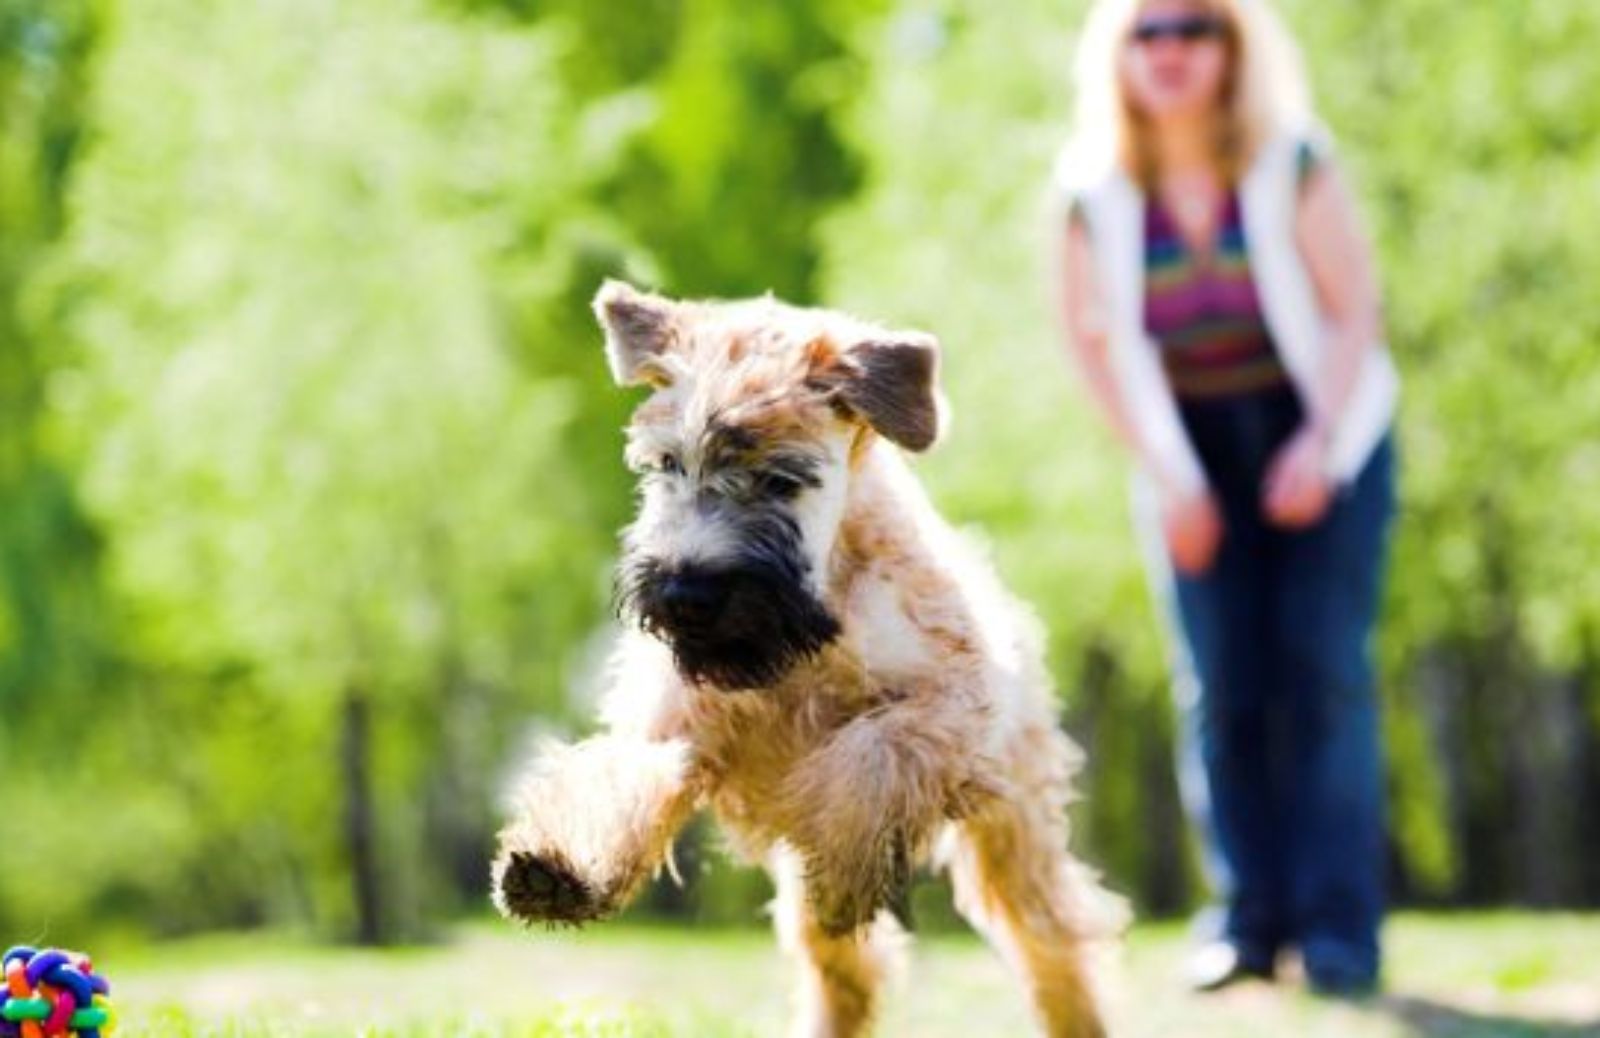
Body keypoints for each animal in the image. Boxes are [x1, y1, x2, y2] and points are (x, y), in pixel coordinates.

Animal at [492, 279, 1120, 1030]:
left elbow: (871, 753)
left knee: (1052, 945)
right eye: (667, 464)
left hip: (1015, 838)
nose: (684, 592)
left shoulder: (950, 708)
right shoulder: (670, 727)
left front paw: (849, 863)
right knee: (845, 972)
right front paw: (558, 867)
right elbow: (618, 780)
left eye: (781, 479)